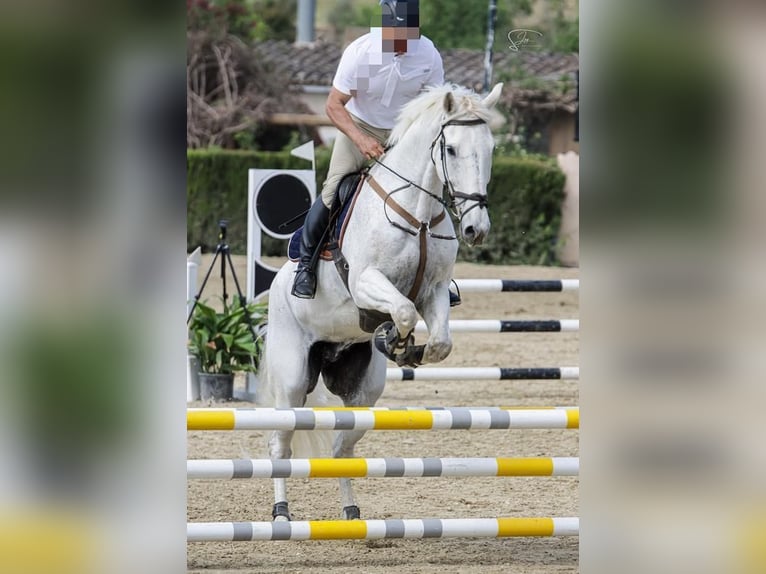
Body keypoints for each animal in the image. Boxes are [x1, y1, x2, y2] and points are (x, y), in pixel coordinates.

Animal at [262, 84, 504, 520]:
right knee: (281, 443)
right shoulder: (365, 282)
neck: (418, 215)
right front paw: (394, 339)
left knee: (342, 448)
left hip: (362, 393)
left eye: (490, 148)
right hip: (292, 382)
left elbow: (440, 341)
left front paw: (404, 347)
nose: (476, 230)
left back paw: (351, 513)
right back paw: (282, 512)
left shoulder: (435, 290)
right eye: (452, 149)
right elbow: (403, 309)